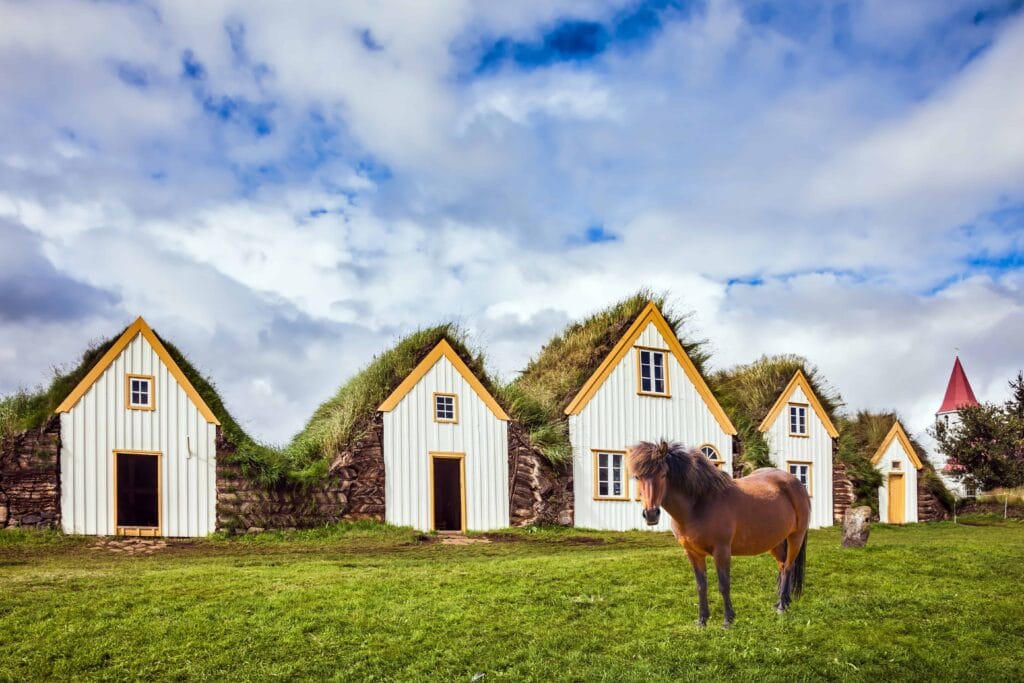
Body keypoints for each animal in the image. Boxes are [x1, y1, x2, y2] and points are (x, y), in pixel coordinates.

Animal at [626, 440, 811, 626]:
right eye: (637, 477)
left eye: (664, 474)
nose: (651, 514)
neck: (697, 504)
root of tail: (795, 483)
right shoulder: (692, 553)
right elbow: (701, 585)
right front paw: (702, 620)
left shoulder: (721, 551)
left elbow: (724, 584)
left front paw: (728, 620)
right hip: (776, 541)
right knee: (782, 565)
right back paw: (781, 602)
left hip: (796, 537)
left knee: (788, 567)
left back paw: (782, 607)